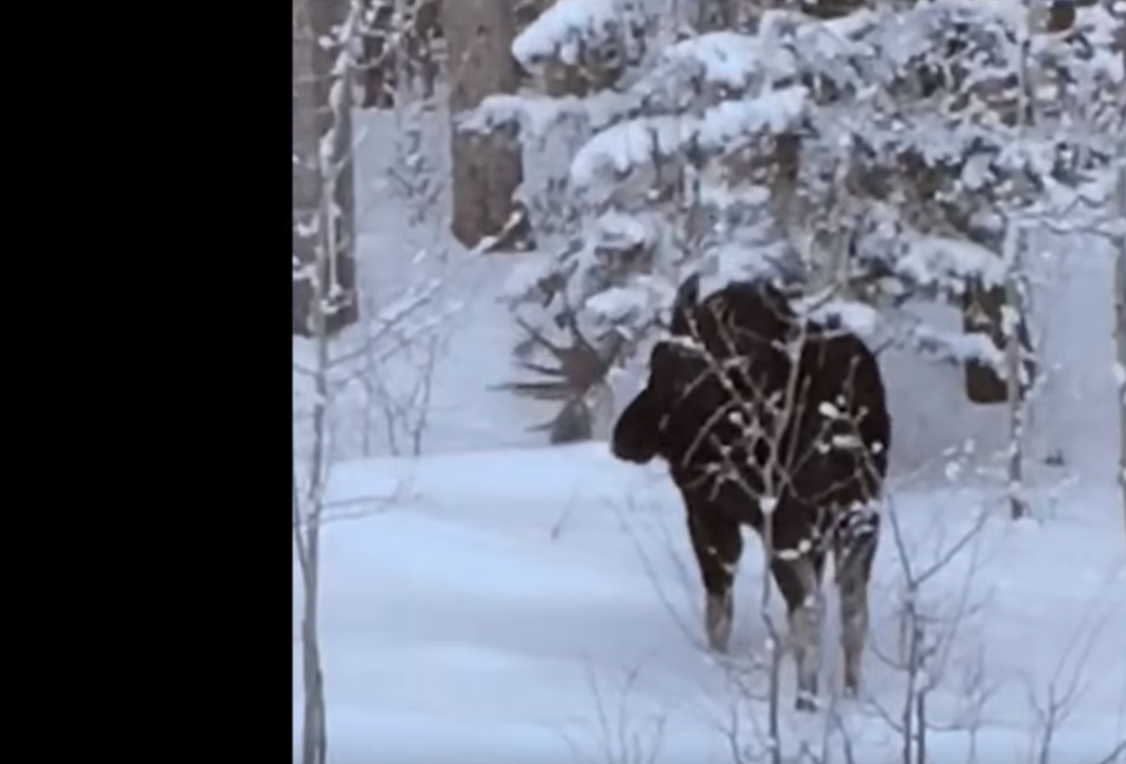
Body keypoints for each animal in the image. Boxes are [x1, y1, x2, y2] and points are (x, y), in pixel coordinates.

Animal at [612, 273, 891, 711]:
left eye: (665, 362)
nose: (624, 437)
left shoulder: (707, 511)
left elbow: (718, 604)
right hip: (861, 518)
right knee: (853, 609)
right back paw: (850, 694)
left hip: (789, 526)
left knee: (809, 612)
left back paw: (805, 701)